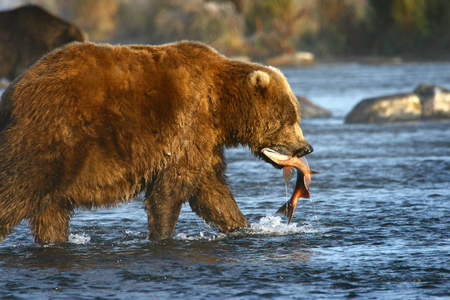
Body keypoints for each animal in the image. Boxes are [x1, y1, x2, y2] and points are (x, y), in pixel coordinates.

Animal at [0, 40, 312, 244]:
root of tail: (12, 92)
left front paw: (242, 226)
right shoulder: (187, 124)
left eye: (295, 115)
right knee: (16, 188)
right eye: (288, 118)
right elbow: (172, 187)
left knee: (50, 211)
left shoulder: (206, 140)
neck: (220, 106)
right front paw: (161, 235)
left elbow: (212, 190)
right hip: (52, 135)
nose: (305, 147)